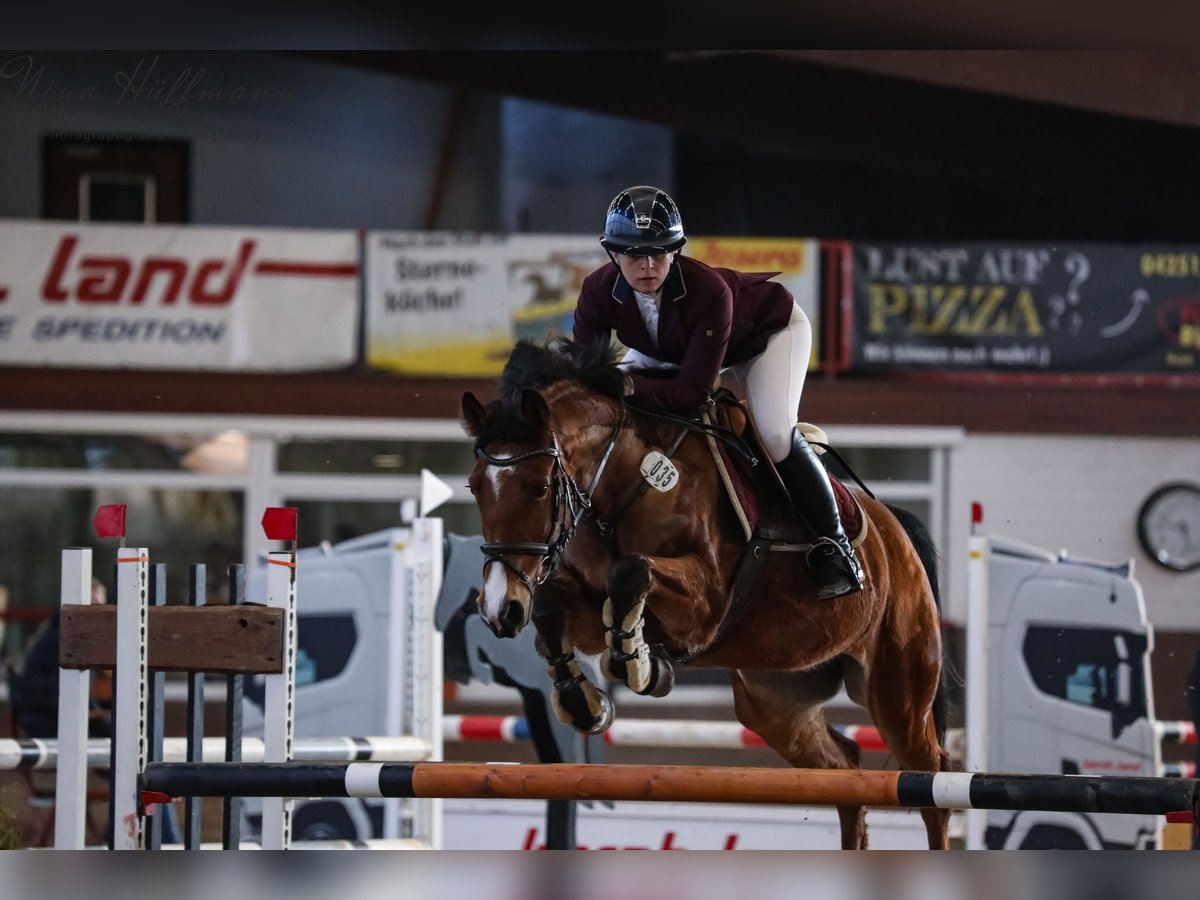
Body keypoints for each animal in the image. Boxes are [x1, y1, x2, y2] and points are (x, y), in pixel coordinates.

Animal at [460, 338, 955, 854]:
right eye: (473, 487)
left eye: (539, 488)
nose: (498, 609)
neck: (622, 488)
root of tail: (895, 530)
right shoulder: (586, 609)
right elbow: (556, 605)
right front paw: (584, 699)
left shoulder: (704, 606)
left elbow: (630, 572)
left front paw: (639, 665)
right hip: (775, 701)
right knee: (844, 770)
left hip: (899, 695)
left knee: (931, 780)